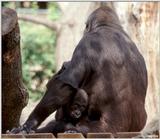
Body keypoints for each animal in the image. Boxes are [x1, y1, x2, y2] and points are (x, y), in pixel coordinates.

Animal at [9, 6, 148, 136]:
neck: (110, 28)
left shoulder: (85, 44)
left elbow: (64, 85)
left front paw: (30, 123)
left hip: (104, 129)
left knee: (64, 124)